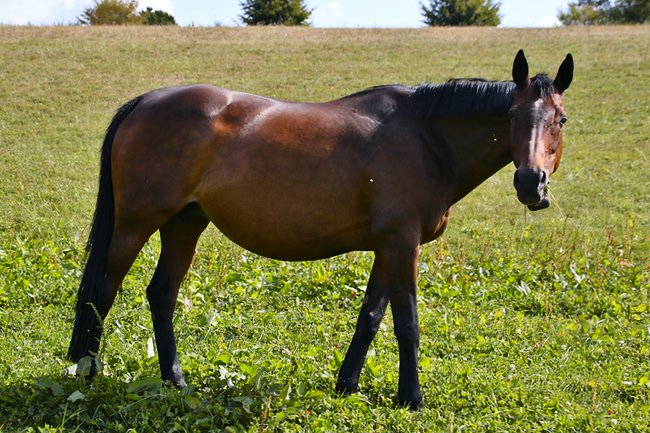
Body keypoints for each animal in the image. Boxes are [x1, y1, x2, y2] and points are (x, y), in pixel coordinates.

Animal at [68, 50, 573, 409]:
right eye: (511, 117)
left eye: (560, 120)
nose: (531, 183)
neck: (425, 137)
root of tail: (144, 102)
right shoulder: (402, 244)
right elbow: (407, 323)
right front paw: (411, 398)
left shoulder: (387, 247)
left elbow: (371, 317)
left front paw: (347, 384)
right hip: (135, 224)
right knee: (102, 291)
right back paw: (87, 371)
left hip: (184, 224)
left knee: (161, 294)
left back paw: (174, 379)